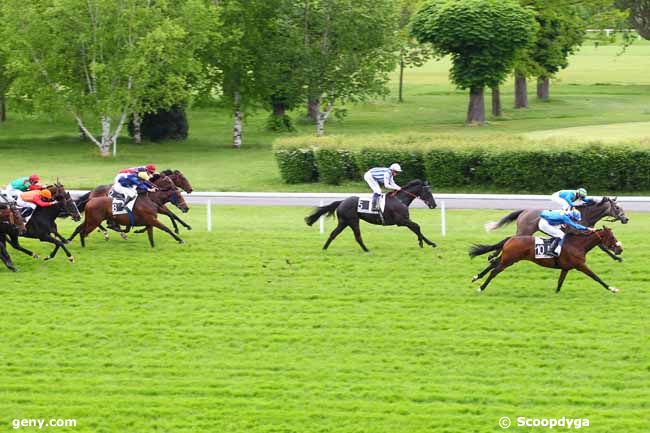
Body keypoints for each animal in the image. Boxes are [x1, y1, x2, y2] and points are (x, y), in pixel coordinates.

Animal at [304, 179, 436, 251]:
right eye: (428, 192)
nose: (434, 205)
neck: (400, 199)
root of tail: (341, 202)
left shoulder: (404, 220)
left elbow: (416, 228)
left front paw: (427, 243)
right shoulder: (401, 221)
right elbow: (417, 227)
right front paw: (425, 243)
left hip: (344, 222)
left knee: (333, 234)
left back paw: (324, 248)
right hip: (353, 221)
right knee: (357, 236)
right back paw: (367, 250)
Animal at [468, 226, 620, 294]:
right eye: (612, 237)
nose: (620, 249)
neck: (577, 245)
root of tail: (511, 238)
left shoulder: (566, 268)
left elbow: (560, 282)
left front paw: (556, 293)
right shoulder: (580, 265)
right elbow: (596, 277)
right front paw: (612, 288)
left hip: (507, 258)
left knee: (493, 263)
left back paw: (476, 277)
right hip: (509, 260)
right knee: (494, 271)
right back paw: (481, 287)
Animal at [484, 197, 624, 262]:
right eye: (617, 207)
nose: (626, 219)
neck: (585, 214)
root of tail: (524, 211)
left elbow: (602, 245)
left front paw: (616, 257)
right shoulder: (579, 231)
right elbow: (602, 245)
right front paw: (616, 255)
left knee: (509, 238)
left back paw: (493, 255)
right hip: (525, 230)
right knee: (510, 239)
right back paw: (493, 255)